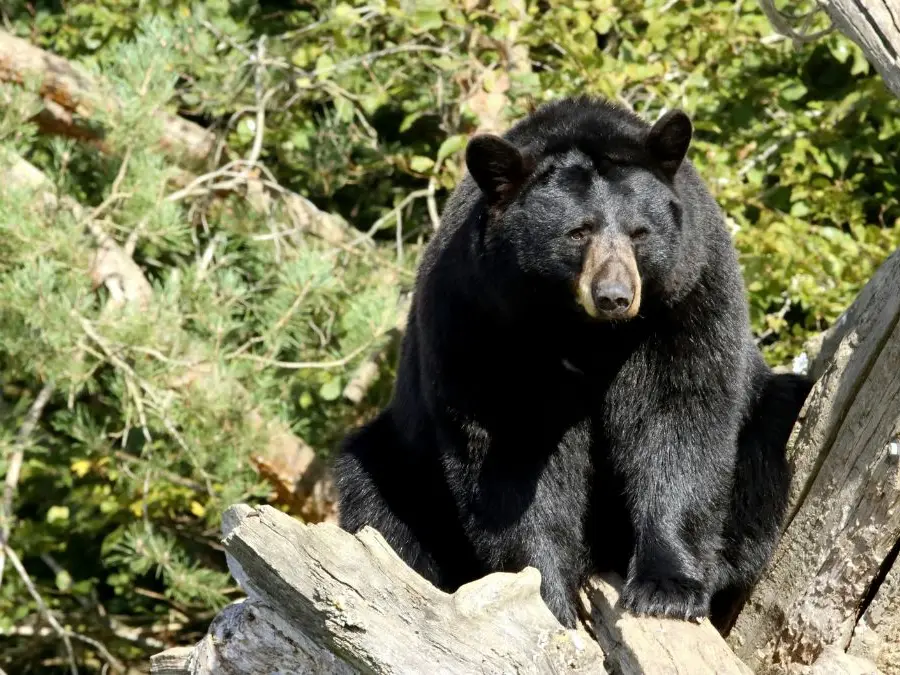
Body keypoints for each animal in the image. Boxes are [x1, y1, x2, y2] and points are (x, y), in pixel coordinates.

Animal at [333, 94, 811, 631]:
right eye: (577, 233)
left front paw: (668, 588)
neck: (582, 331)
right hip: (405, 462)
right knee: (378, 498)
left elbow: (680, 417)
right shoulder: (481, 318)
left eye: (640, 233)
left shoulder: (686, 295)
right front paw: (547, 597)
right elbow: (511, 451)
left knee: (767, 440)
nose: (614, 296)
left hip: (765, 411)